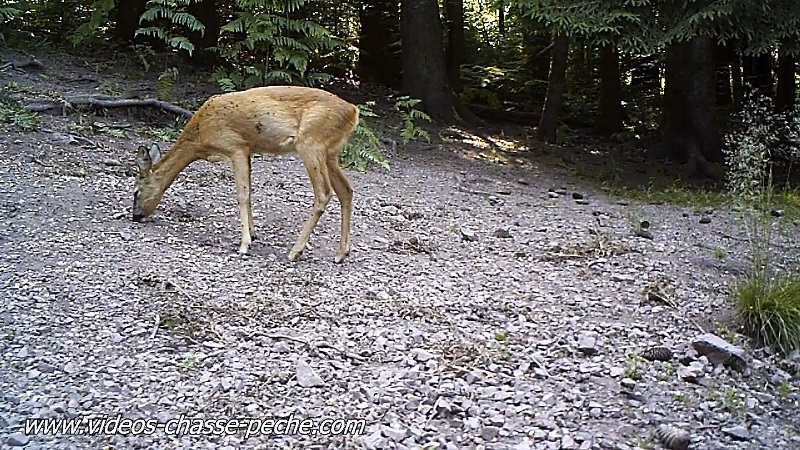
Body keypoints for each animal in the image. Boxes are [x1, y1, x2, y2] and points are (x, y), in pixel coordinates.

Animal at [133, 85, 358, 264]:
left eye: (135, 191)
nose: (136, 216)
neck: (200, 137)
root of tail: (353, 111)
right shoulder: (248, 150)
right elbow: (249, 192)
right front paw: (253, 232)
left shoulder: (235, 147)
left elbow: (242, 195)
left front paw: (244, 245)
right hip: (330, 153)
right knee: (346, 190)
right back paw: (341, 253)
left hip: (311, 143)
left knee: (324, 193)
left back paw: (295, 251)